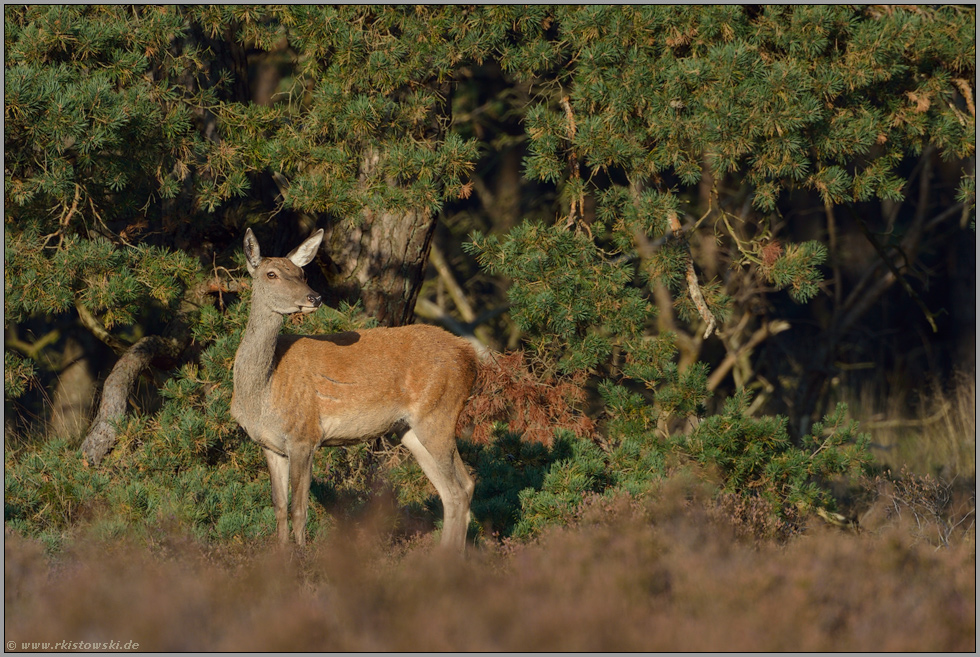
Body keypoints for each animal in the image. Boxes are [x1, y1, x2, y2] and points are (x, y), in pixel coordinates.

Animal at [230, 228, 474, 552]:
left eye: (301, 272)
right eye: (271, 274)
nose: (315, 296)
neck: (262, 392)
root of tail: (471, 356)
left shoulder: (304, 434)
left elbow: (299, 509)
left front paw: (302, 558)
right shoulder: (270, 445)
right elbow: (279, 507)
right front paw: (281, 556)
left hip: (439, 412)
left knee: (462, 487)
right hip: (410, 430)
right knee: (452, 490)